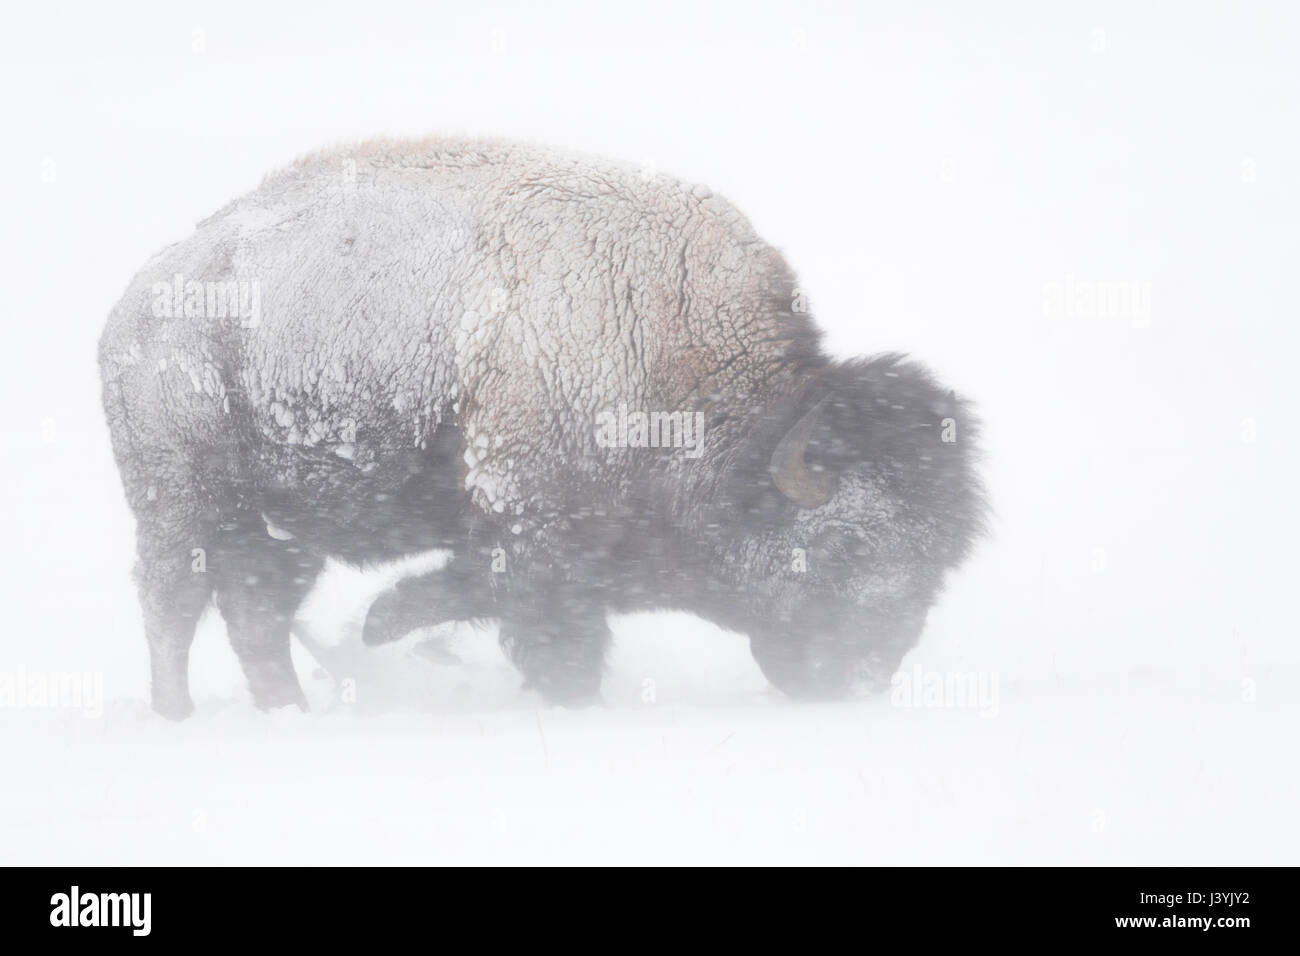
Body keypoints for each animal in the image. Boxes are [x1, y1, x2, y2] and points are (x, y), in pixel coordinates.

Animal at [101, 136, 982, 717]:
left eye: (937, 563)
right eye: (849, 547)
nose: (858, 682)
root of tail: (138, 304)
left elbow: (458, 590)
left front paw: (383, 621)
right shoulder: (534, 526)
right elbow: (548, 629)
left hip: (283, 525)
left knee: (256, 609)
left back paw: (289, 711)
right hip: (180, 500)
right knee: (172, 600)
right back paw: (177, 713)